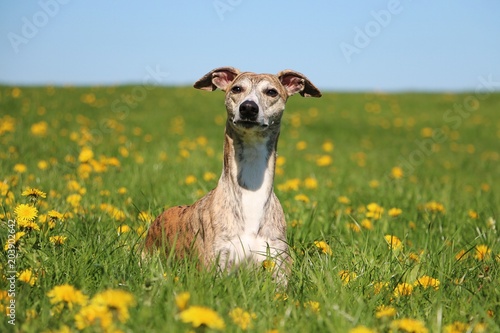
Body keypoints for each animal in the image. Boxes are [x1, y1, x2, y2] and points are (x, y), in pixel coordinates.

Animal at [145, 66, 322, 282]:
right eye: (237, 88)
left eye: (271, 92)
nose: (248, 108)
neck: (251, 194)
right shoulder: (216, 268)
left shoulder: (278, 270)